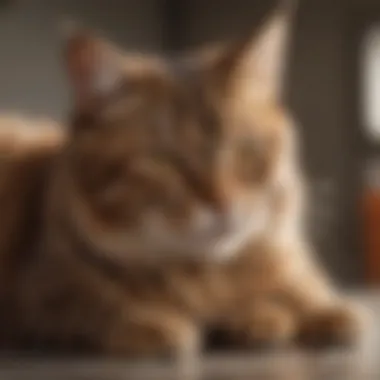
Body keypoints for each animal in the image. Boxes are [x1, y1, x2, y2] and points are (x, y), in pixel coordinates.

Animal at [2, 0, 366, 356]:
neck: (210, 276)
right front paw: (154, 321)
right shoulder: (43, 296)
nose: (223, 203)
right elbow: (97, 305)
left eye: (245, 150)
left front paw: (315, 312)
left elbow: (305, 293)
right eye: (166, 161)